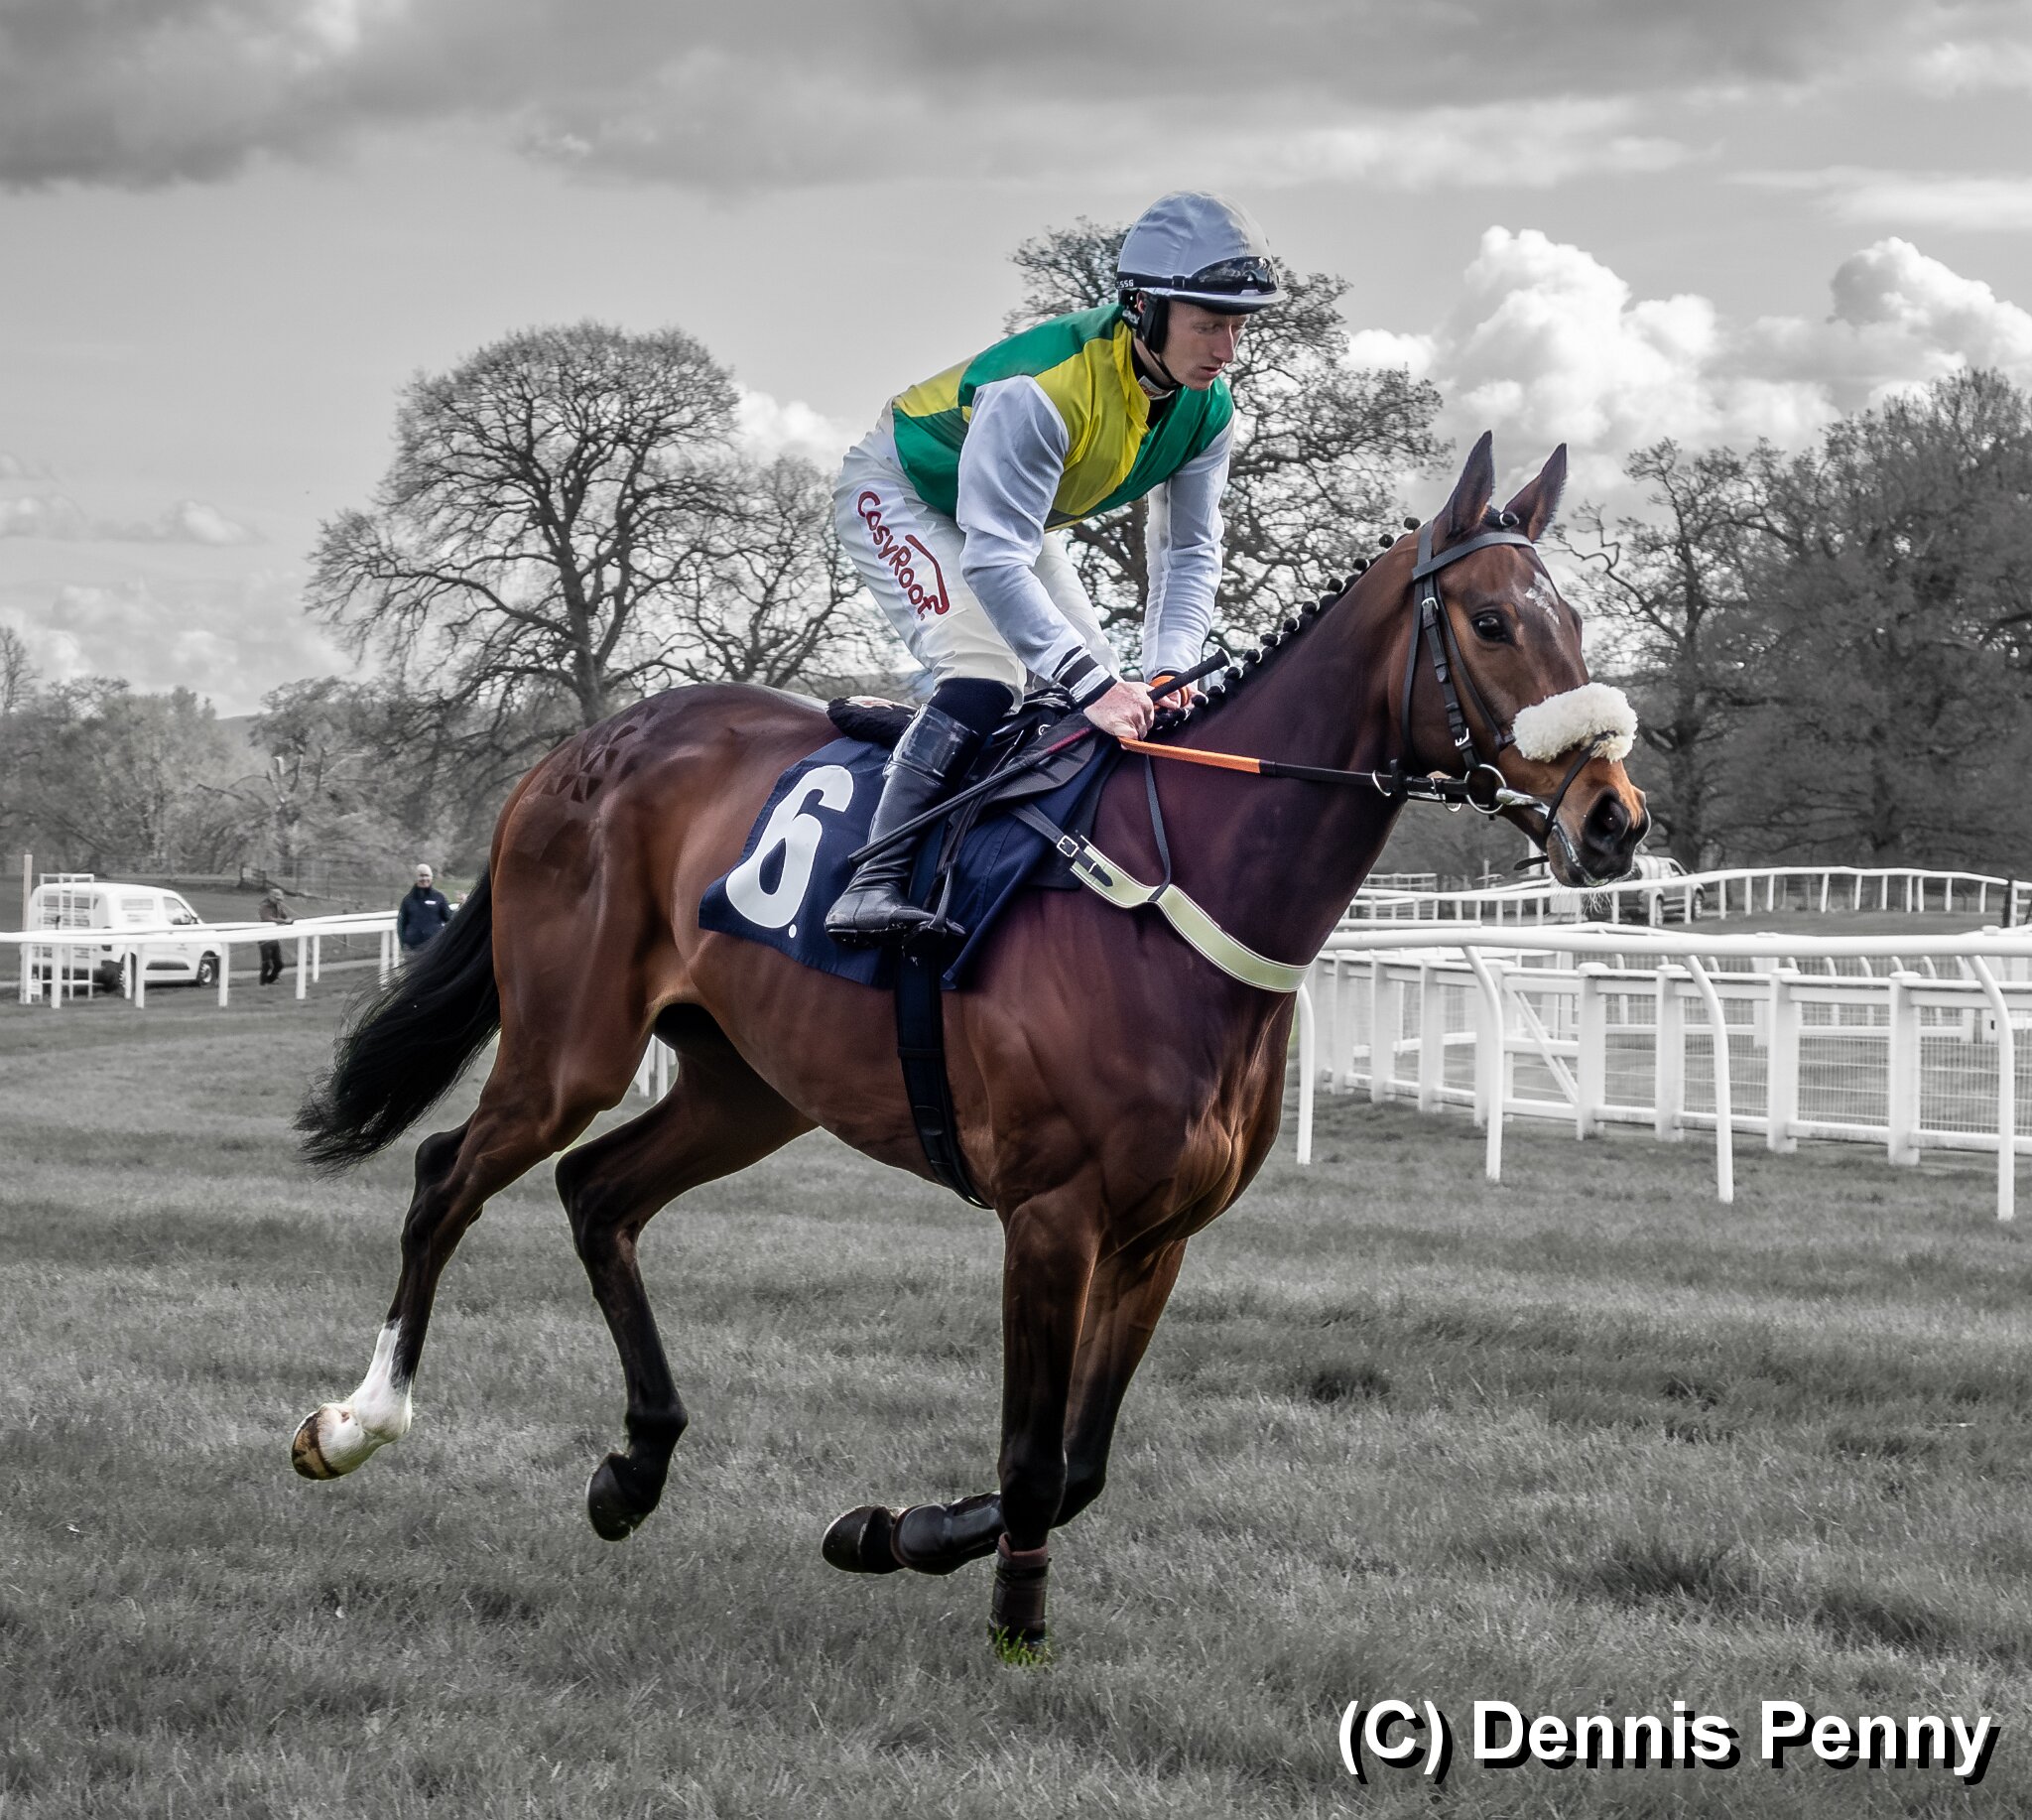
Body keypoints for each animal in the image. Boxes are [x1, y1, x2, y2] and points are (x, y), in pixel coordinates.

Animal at [290, 431, 1646, 1649]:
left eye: (1574, 618)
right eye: (1489, 623)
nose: (1613, 818)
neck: (1168, 883)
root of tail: (576, 751)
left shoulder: (1159, 1236)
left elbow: (1080, 1463)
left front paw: (897, 1534)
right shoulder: (1049, 1215)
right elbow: (1035, 1457)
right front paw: (993, 1604)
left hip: (747, 1085)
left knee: (596, 1192)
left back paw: (635, 1467)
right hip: (572, 1046)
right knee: (448, 1177)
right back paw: (358, 1420)